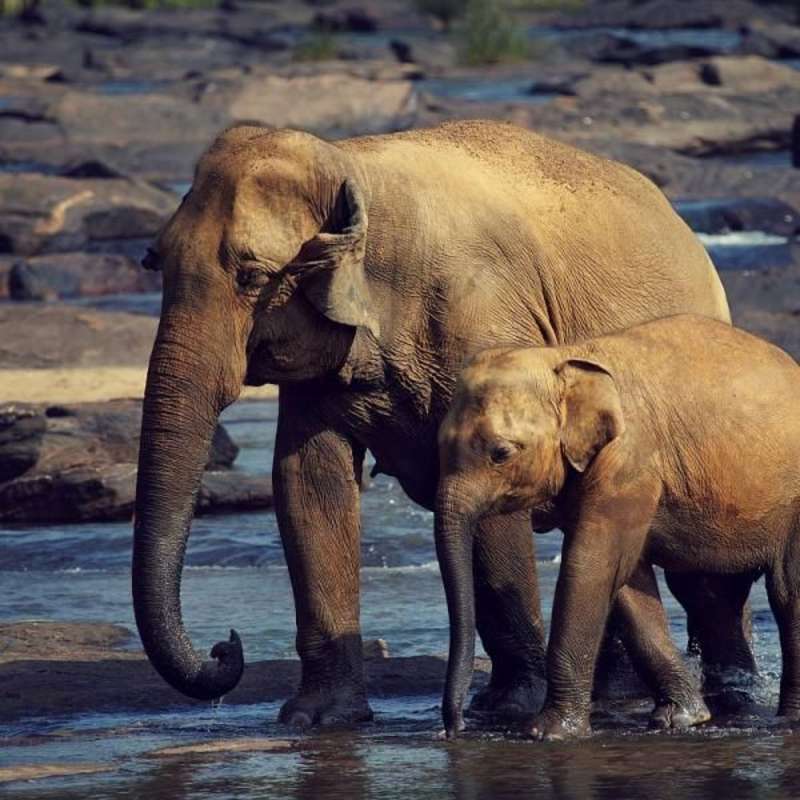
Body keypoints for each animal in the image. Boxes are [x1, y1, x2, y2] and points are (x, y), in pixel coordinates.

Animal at [133, 119, 744, 727]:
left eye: (252, 275)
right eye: (155, 261)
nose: (225, 646)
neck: (353, 168)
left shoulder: (483, 318)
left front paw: (508, 706)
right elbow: (307, 482)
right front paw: (318, 718)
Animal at [435, 314, 800, 739]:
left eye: (501, 453)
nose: (454, 730)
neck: (561, 358)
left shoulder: (628, 462)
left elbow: (590, 566)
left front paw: (547, 733)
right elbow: (625, 578)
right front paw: (680, 719)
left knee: (787, 592)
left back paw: (789, 720)